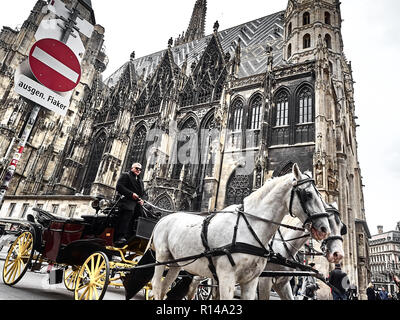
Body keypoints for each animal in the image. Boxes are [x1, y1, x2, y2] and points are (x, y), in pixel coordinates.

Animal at [148, 164, 330, 302]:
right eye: (308, 194)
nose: (324, 229)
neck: (248, 227)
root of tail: (163, 218)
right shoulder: (227, 278)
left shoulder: (251, 281)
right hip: (161, 260)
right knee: (156, 287)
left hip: (176, 264)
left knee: (165, 288)